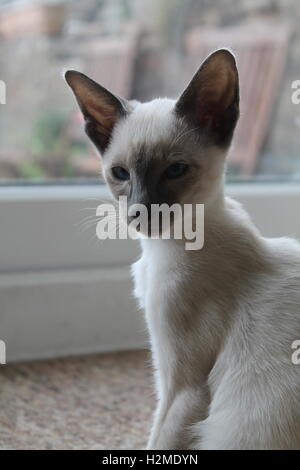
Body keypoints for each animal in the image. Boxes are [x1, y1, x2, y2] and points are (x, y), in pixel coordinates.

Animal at [65, 49, 300, 450]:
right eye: (121, 174)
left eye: (175, 170)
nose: (139, 212)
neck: (159, 248)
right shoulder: (166, 376)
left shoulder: (184, 389)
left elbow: (158, 440)